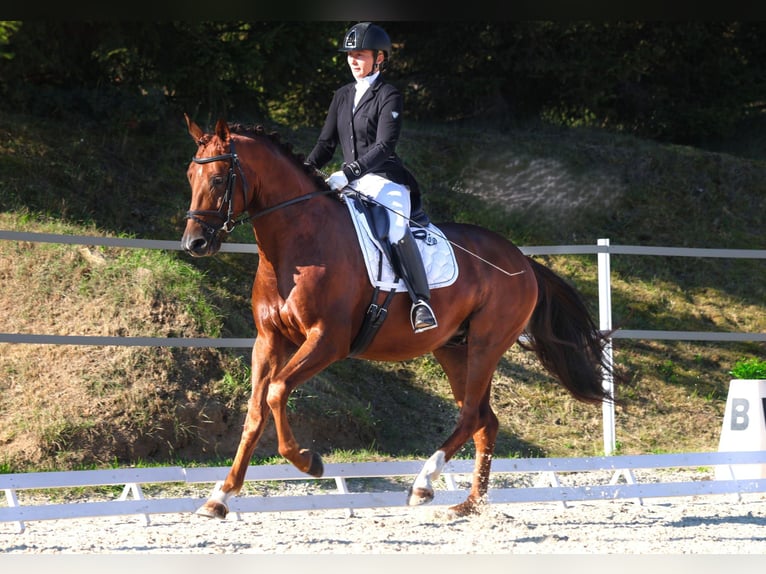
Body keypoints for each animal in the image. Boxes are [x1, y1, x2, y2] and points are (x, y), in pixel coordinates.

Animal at [180, 115, 616, 520]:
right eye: (190, 176)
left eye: (217, 179)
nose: (193, 243)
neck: (298, 241)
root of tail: (522, 260)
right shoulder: (269, 339)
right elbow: (255, 412)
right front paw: (220, 498)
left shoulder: (327, 340)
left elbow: (277, 391)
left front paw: (309, 461)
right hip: (452, 349)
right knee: (485, 420)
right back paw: (469, 505)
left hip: (486, 345)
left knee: (471, 414)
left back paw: (424, 484)